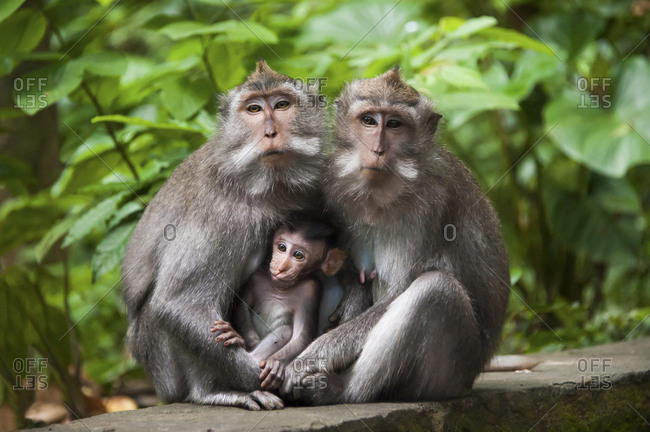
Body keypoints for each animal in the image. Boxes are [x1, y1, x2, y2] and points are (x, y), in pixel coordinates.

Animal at [121, 60, 329, 410]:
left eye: (282, 104)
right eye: (254, 109)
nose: (270, 132)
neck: (269, 187)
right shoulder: (219, 215)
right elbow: (177, 305)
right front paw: (258, 378)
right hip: (164, 370)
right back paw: (214, 392)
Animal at [210, 216, 347, 391]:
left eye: (298, 255)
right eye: (282, 247)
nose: (281, 267)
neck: (280, 288)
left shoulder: (310, 289)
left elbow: (301, 336)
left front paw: (275, 364)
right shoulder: (257, 277)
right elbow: (241, 306)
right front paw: (244, 340)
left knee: (285, 331)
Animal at [280, 67, 510, 405]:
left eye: (394, 124)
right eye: (368, 120)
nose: (377, 150)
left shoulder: (435, 204)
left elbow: (401, 290)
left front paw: (312, 357)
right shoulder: (332, 186)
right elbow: (347, 269)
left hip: (450, 374)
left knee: (435, 290)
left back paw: (344, 389)